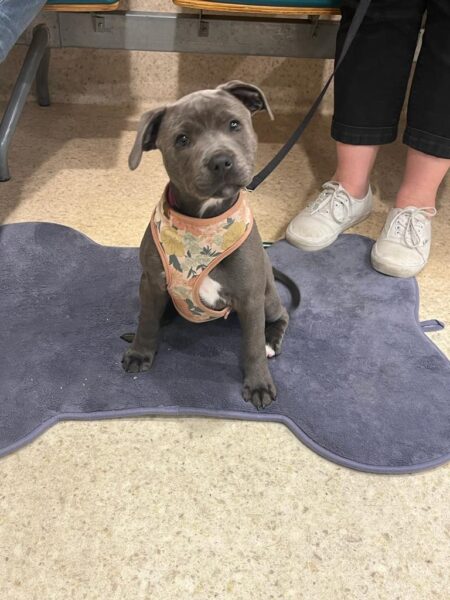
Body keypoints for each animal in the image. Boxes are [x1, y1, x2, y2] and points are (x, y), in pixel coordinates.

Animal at [122, 81, 297, 410]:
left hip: (266, 296)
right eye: (182, 139)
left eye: (234, 124)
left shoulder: (250, 298)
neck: (203, 221)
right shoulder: (151, 281)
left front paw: (258, 383)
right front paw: (140, 351)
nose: (220, 161)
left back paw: (271, 340)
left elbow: (252, 345)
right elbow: (147, 320)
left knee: (281, 315)